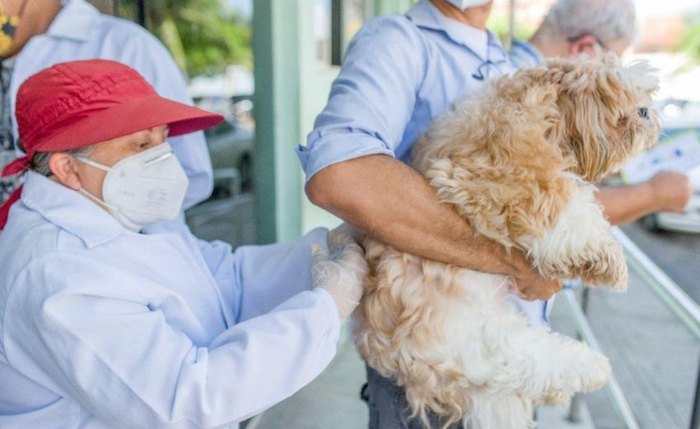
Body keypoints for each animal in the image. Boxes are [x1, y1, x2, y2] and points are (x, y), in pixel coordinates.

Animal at [356, 54, 660, 428]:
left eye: (646, 98)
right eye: (627, 102)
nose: (647, 111)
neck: (541, 108)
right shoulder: (501, 178)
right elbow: (566, 206)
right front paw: (607, 257)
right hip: (474, 335)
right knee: (525, 358)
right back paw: (591, 367)